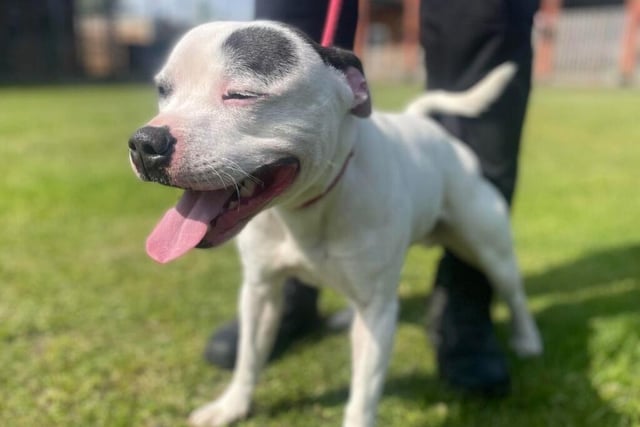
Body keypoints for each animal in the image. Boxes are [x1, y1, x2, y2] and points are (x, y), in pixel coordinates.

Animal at [127, 21, 544, 427]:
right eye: (164, 91)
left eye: (242, 94)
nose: (146, 142)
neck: (306, 206)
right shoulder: (260, 290)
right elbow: (249, 358)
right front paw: (232, 405)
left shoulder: (377, 314)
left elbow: (363, 394)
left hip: (489, 249)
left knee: (513, 292)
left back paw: (527, 340)